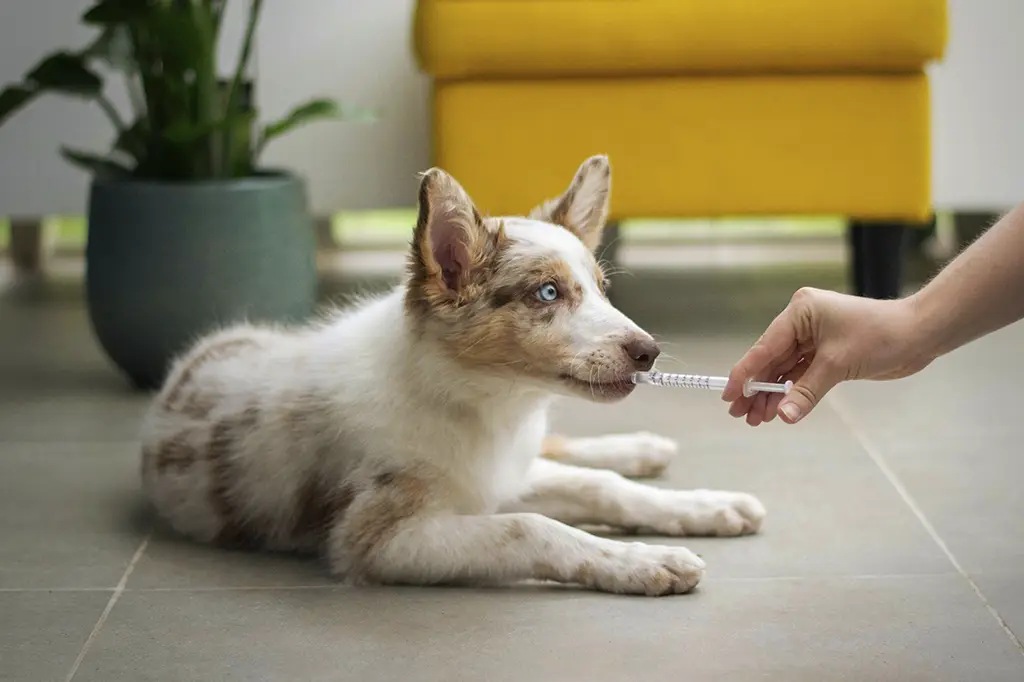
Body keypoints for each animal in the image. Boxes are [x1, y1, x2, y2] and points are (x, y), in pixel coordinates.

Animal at [142, 156, 770, 593]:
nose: (649, 353)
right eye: (548, 293)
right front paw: (644, 560)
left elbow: (600, 488)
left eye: (601, 289)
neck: (481, 402)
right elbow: (531, 526)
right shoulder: (378, 539)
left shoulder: (500, 472)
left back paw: (641, 449)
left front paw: (701, 508)